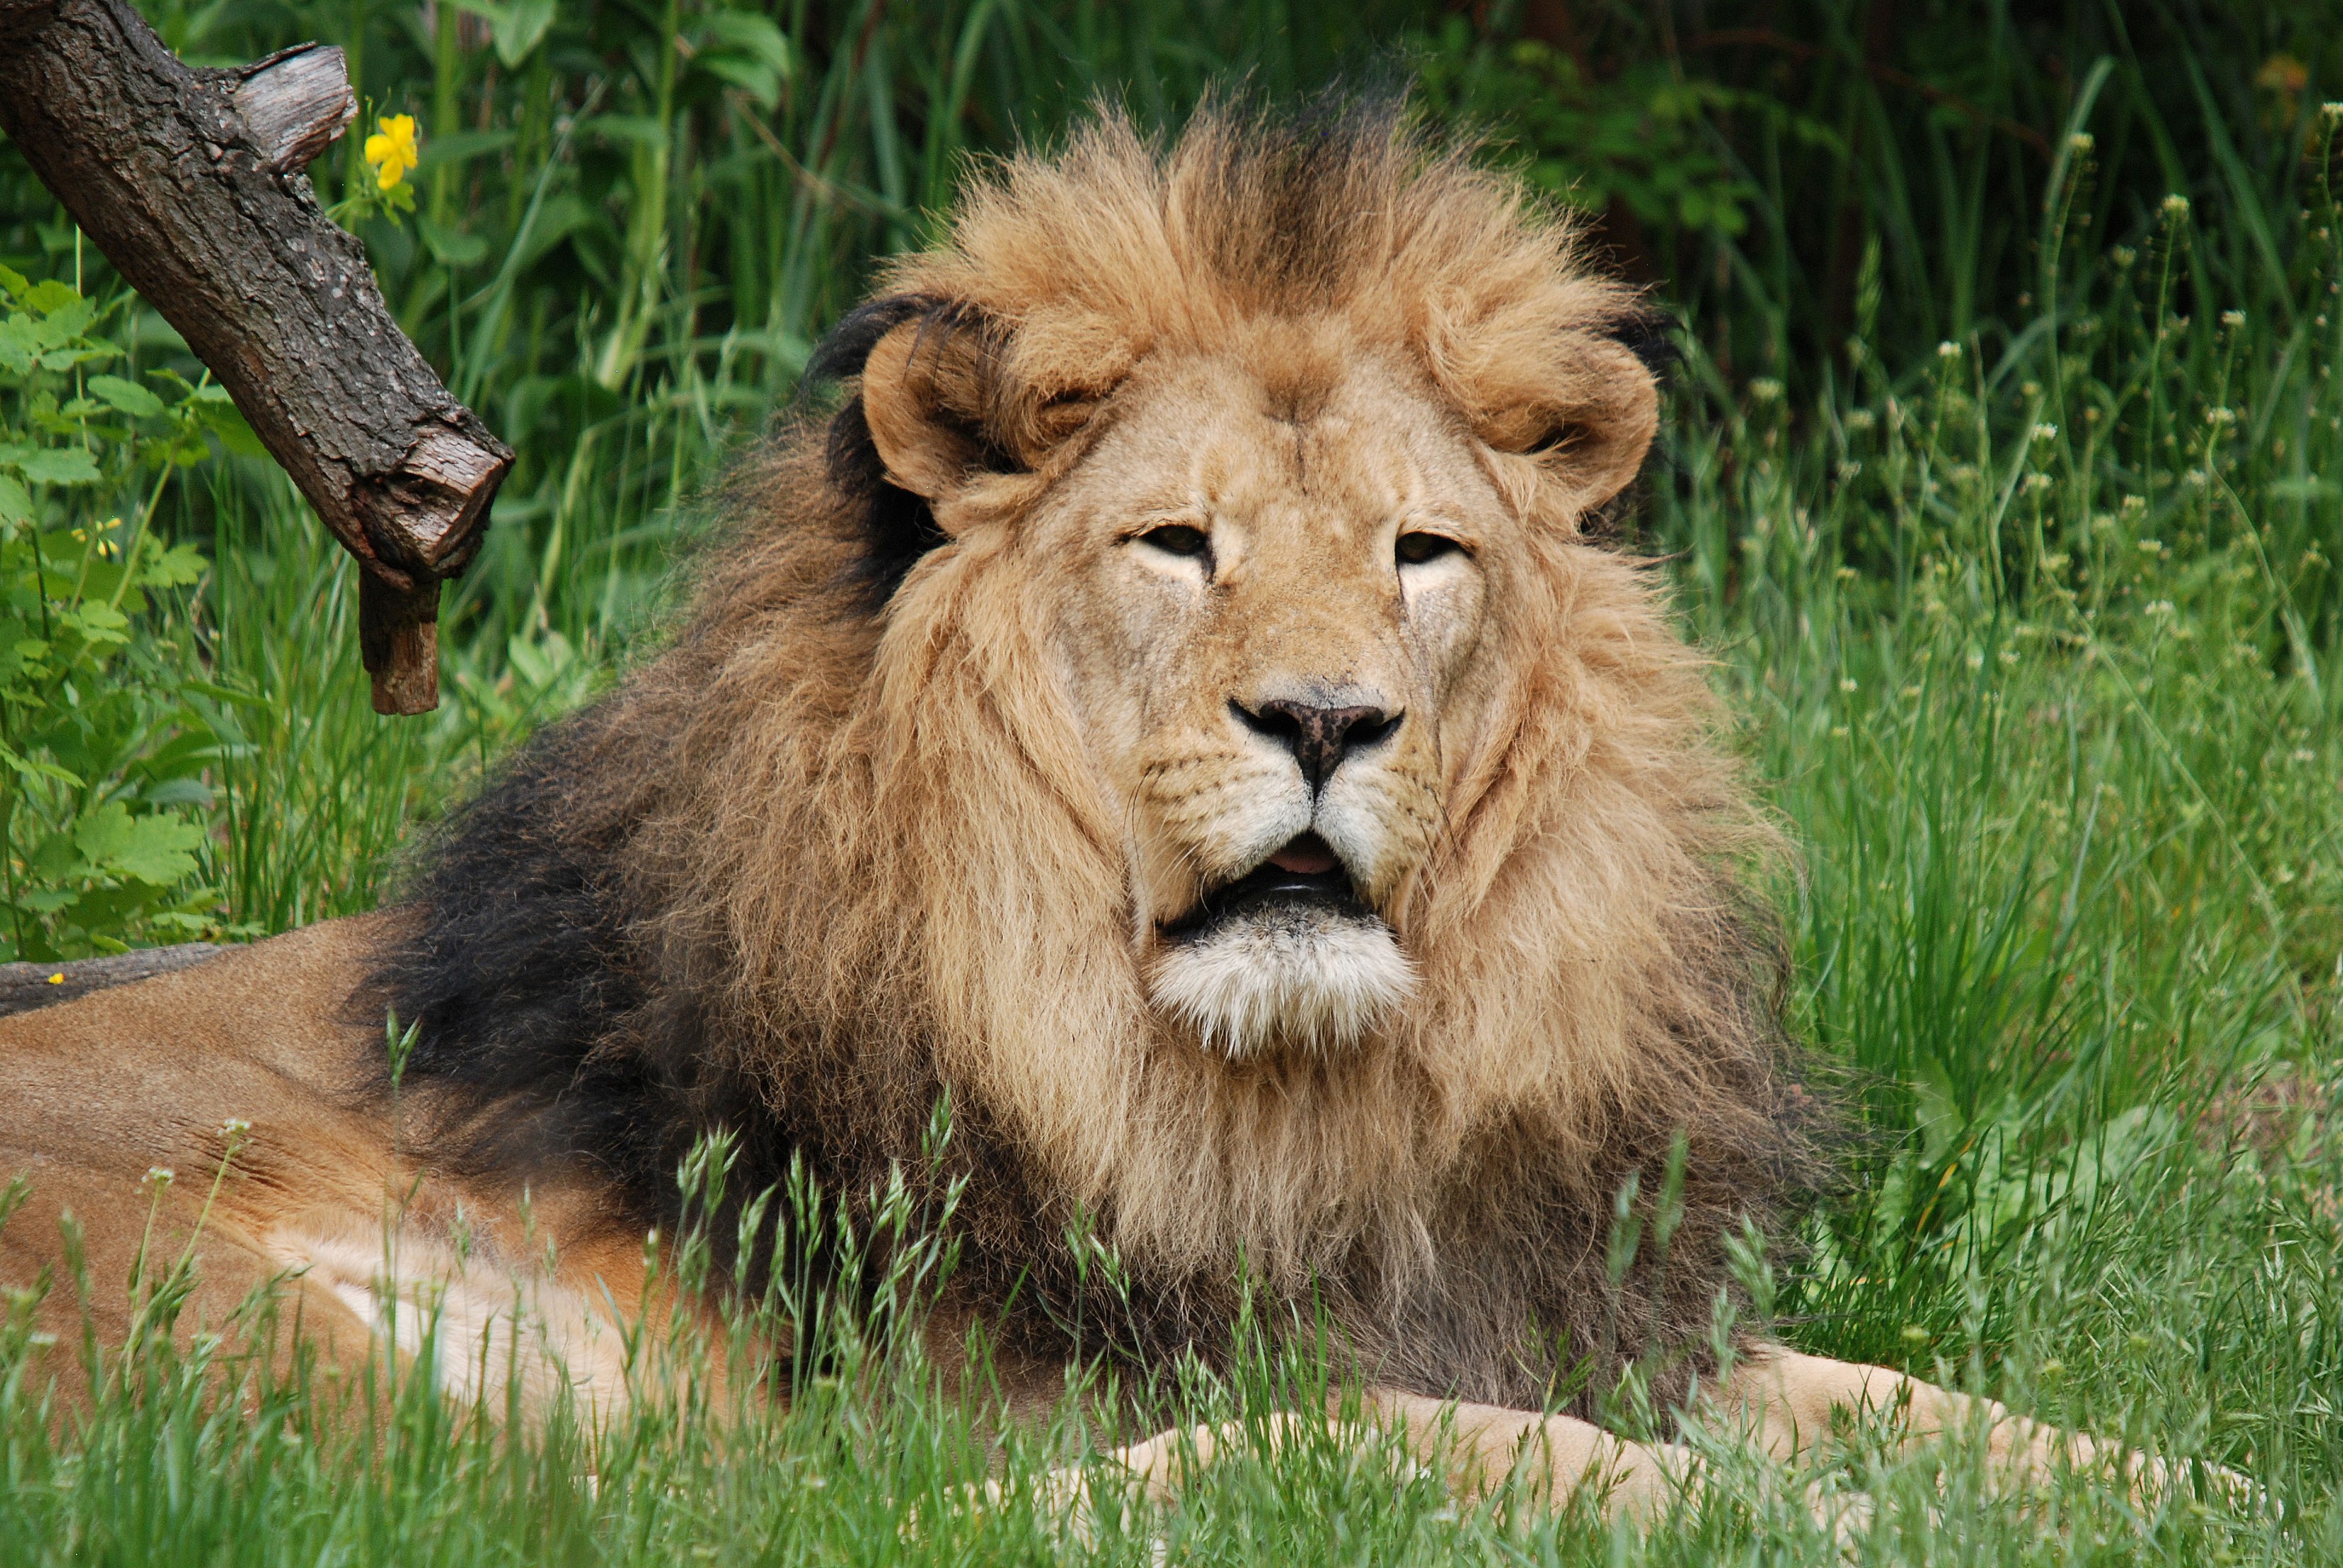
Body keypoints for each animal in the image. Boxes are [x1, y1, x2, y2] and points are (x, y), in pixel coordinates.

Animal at [0, 101, 2197, 1519]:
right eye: (1174, 544)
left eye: (1419, 552)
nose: (1325, 718)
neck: (1282, 1100)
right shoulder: (988, 1374)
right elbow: (1447, 1430)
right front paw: (1734, 1501)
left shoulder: (1547, 1301)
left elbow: (1905, 1395)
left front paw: (2175, 1481)